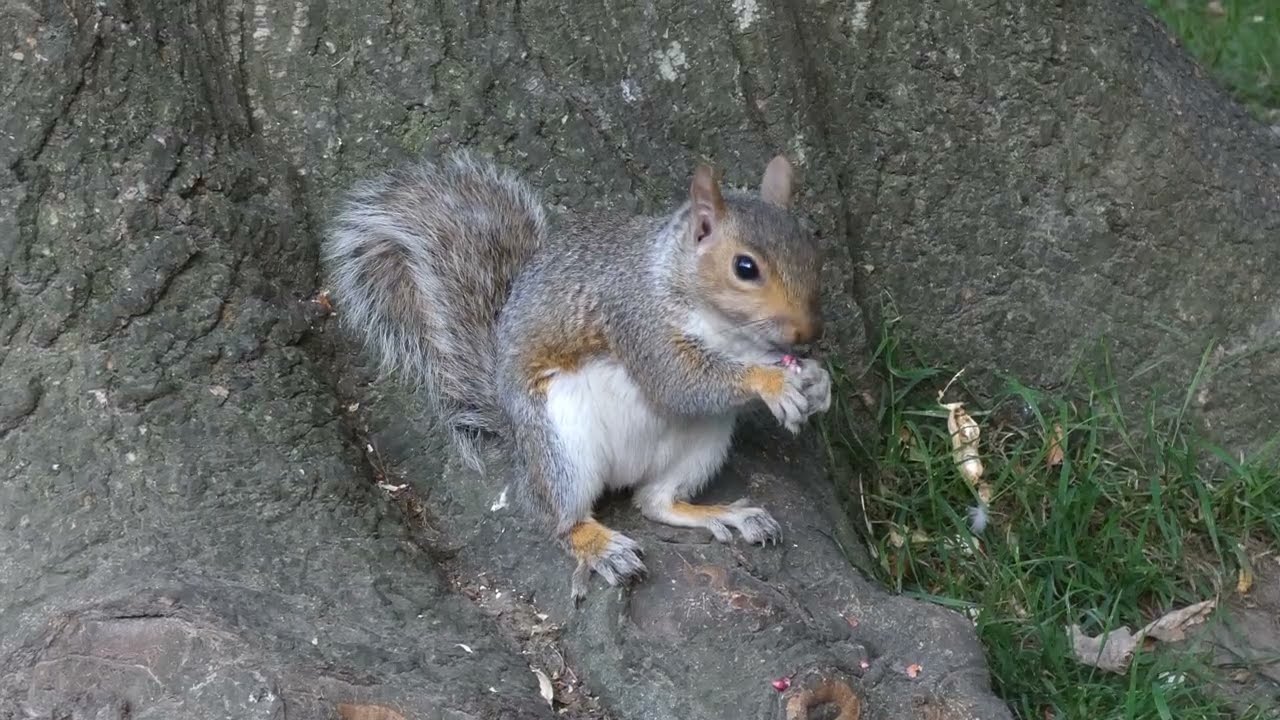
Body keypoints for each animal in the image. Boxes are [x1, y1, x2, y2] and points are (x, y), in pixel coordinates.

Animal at [323, 151, 832, 601]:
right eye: (745, 267)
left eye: (814, 252)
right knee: (559, 517)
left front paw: (817, 382)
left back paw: (723, 515)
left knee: (656, 502)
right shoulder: (635, 320)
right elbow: (677, 381)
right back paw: (600, 547)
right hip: (561, 441)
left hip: (702, 443)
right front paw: (772, 383)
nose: (809, 332)